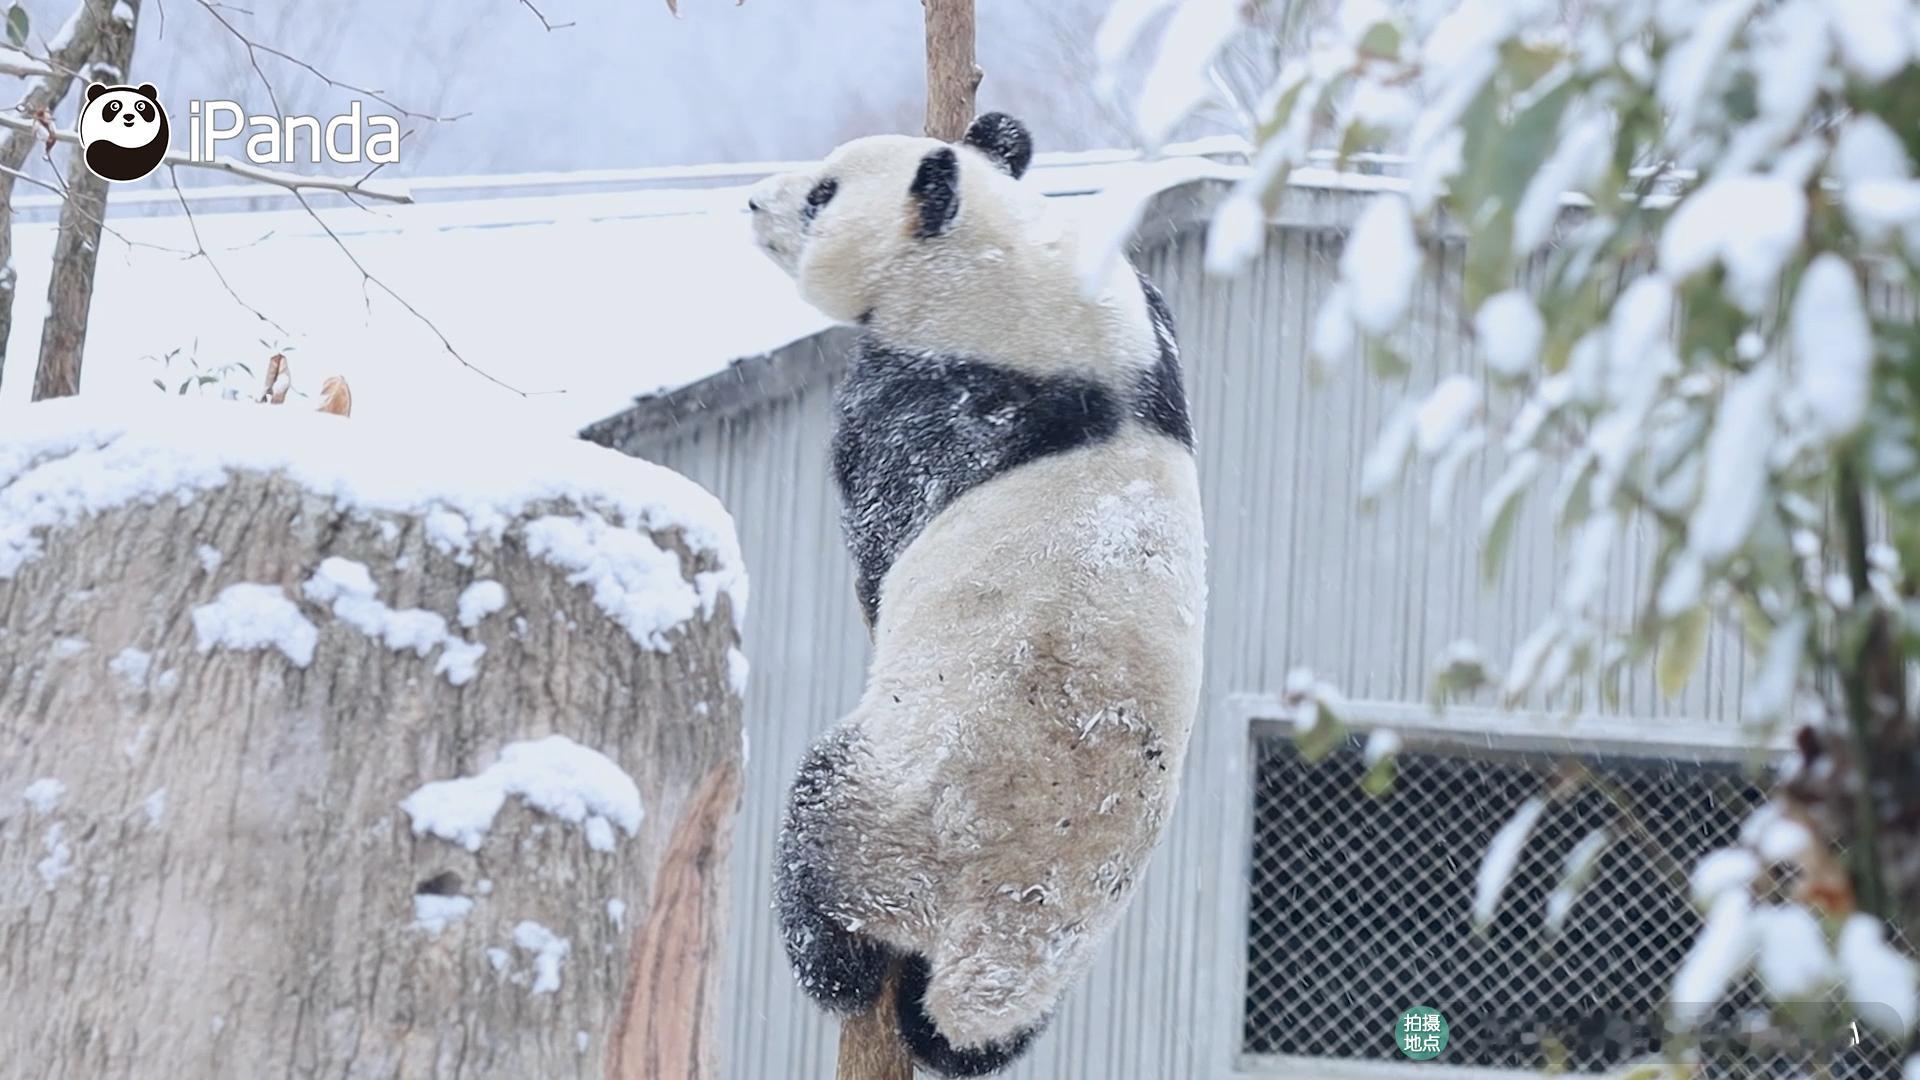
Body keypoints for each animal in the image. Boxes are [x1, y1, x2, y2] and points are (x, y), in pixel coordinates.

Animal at [744, 113, 1198, 1068]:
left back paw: (835, 967)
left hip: (893, 810)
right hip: (1067, 947)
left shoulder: (946, 393)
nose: (754, 201)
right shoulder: (1153, 329)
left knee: (817, 836)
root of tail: (986, 948)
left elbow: (884, 517)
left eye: (823, 193)